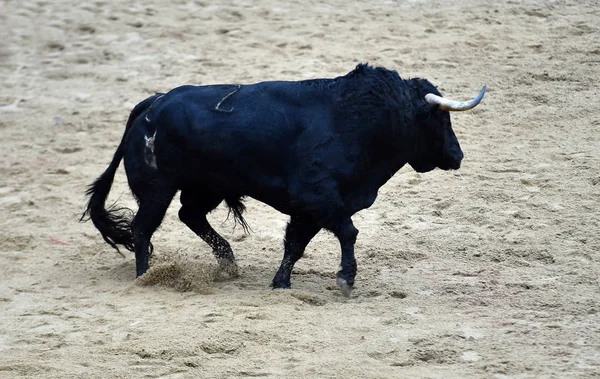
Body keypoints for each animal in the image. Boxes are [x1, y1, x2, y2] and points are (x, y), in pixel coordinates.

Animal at [82, 64, 486, 296]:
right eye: (441, 118)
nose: (457, 156)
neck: (356, 120)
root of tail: (153, 102)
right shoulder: (319, 197)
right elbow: (347, 231)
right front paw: (345, 279)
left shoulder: (310, 208)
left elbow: (296, 244)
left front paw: (281, 283)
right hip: (157, 188)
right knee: (143, 228)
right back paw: (144, 276)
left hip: (206, 186)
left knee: (189, 215)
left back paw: (228, 262)